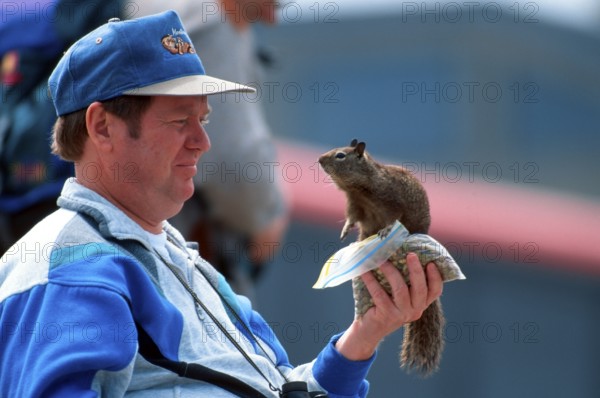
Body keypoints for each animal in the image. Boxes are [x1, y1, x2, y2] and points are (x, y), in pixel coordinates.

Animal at [318, 139, 446, 376]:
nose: (319, 159)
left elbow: (393, 217)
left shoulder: (391, 201)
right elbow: (352, 218)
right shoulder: (355, 205)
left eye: (340, 155)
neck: (358, 188)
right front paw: (345, 231)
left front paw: (386, 230)